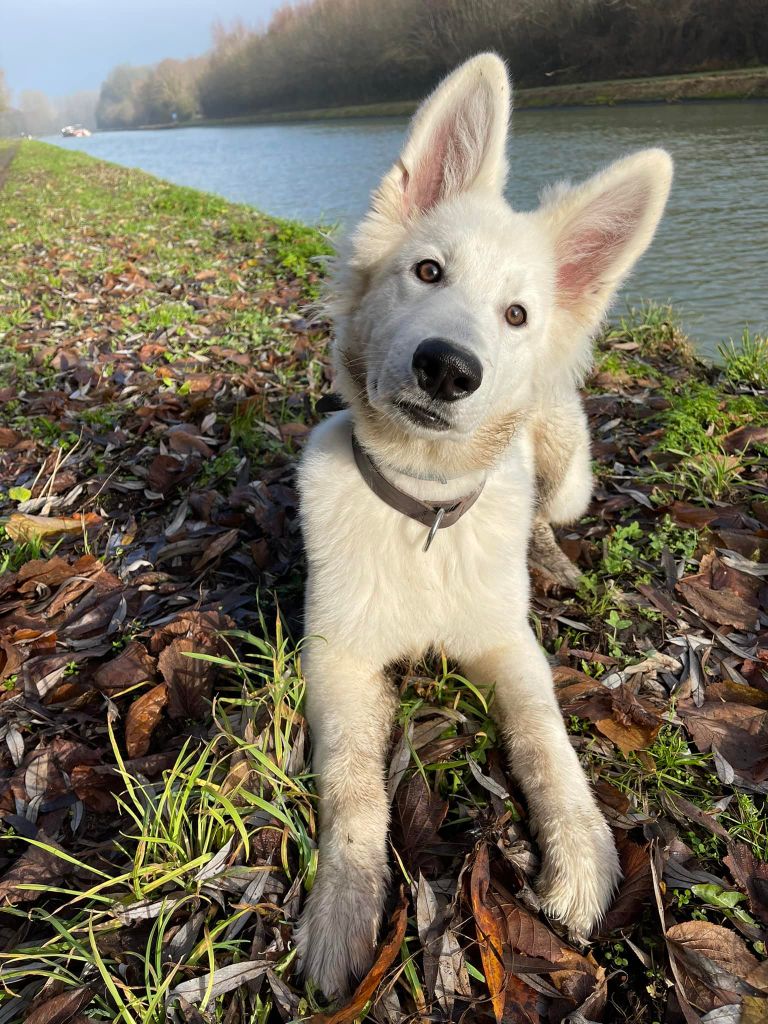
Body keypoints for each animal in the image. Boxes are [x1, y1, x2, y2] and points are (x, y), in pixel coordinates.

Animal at [294, 51, 671, 995]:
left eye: (517, 315)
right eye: (428, 272)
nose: (448, 369)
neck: (426, 512)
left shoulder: (510, 647)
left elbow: (546, 739)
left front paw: (582, 855)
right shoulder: (338, 659)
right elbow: (353, 789)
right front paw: (344, 910)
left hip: (564, 467)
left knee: (545, 510)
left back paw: (553, 558)